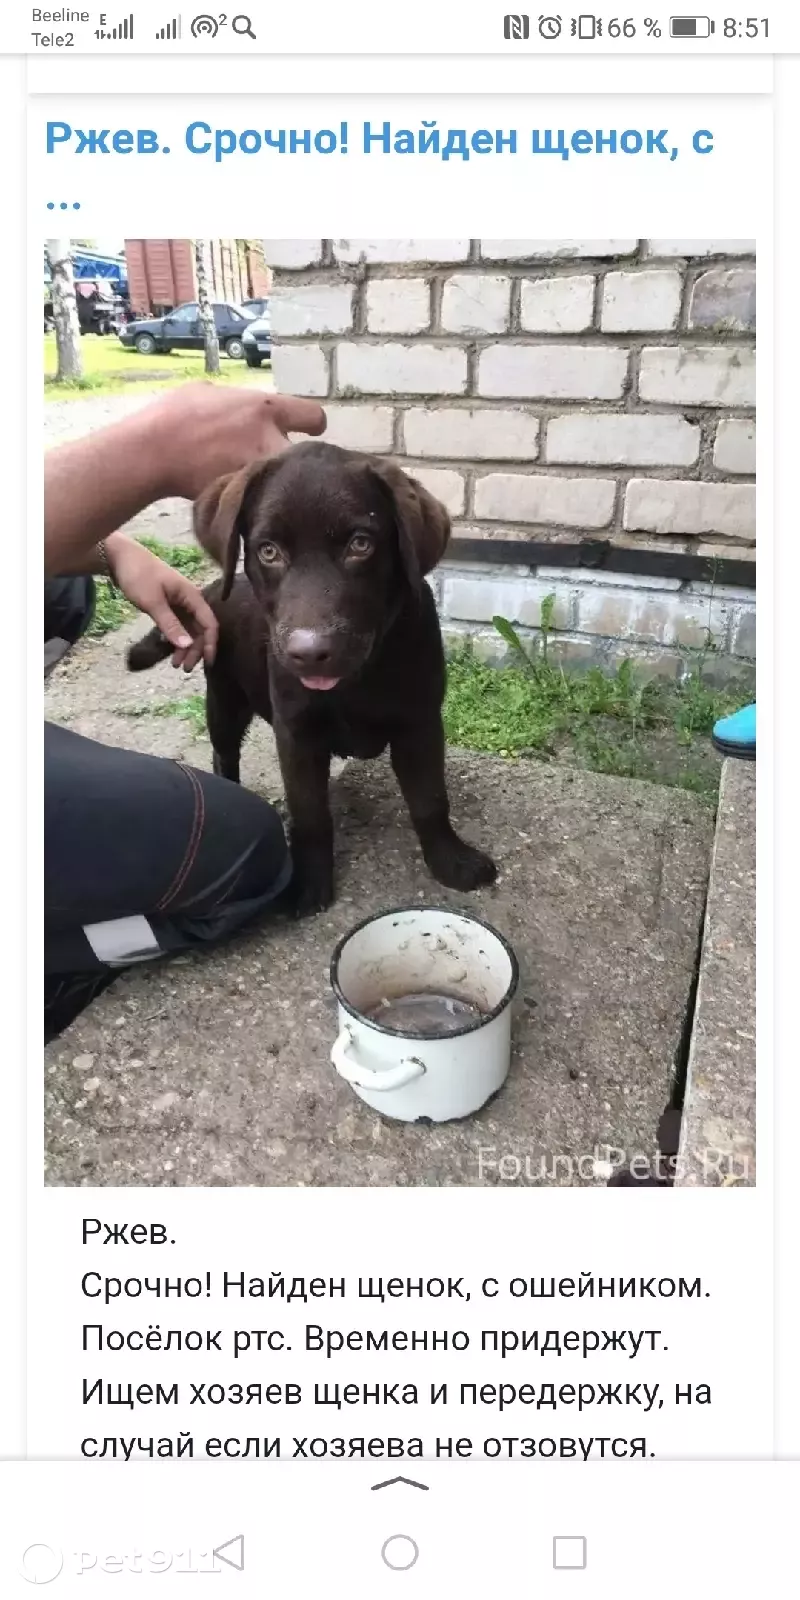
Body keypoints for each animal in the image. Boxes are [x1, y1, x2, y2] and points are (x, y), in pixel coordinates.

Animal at [128, 438, 496, 915]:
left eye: (361, 544)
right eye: (268, 551)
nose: (308, 653)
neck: (357, 678)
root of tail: (212, 589)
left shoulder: (421, 722)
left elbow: (430, 798)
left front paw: (450, 861)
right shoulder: (296, 734)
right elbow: (310, 814)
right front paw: (309, 883)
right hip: (224, 699)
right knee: (224, 754)